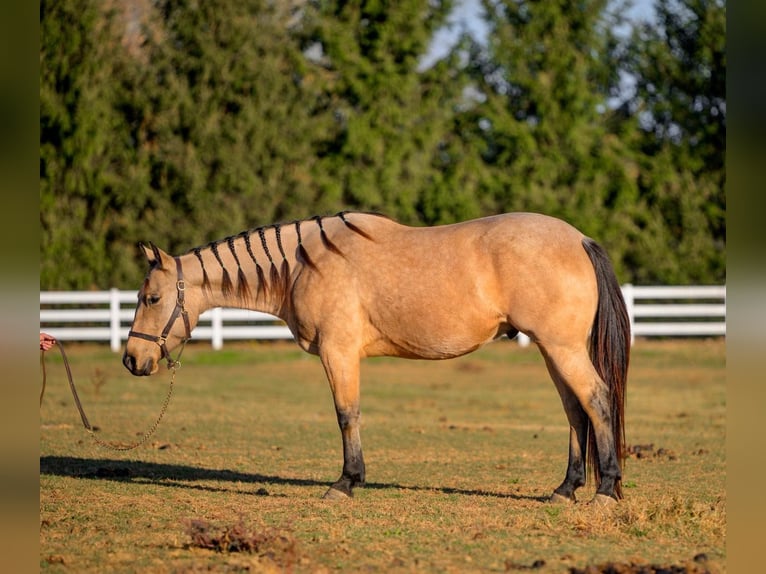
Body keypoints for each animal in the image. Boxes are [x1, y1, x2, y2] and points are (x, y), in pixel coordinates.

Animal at [124, 210, 632, 504]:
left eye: (151, 298)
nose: (132, 359)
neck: (302, 264)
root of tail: (580, 239)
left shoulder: (339, 352)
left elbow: (347, 415)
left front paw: (346, 482)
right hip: (552, 349)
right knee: (575, 412)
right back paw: (566, 489)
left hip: (561, 348)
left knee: (597, 400)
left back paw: (606, 490)